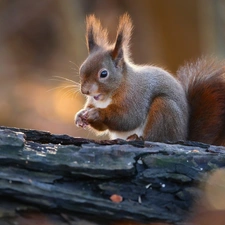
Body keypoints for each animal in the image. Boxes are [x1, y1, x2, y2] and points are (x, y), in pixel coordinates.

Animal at [74, 13, 225, 146]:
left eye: (104, 74)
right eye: (81, 68)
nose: (85, 91)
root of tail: (183, 136)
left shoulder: (136, 97)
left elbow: (128, 118)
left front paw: (96, 113)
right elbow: (102, 127)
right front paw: (80, 115)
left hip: (164, 109)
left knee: (155, 137)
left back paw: (138, 138)